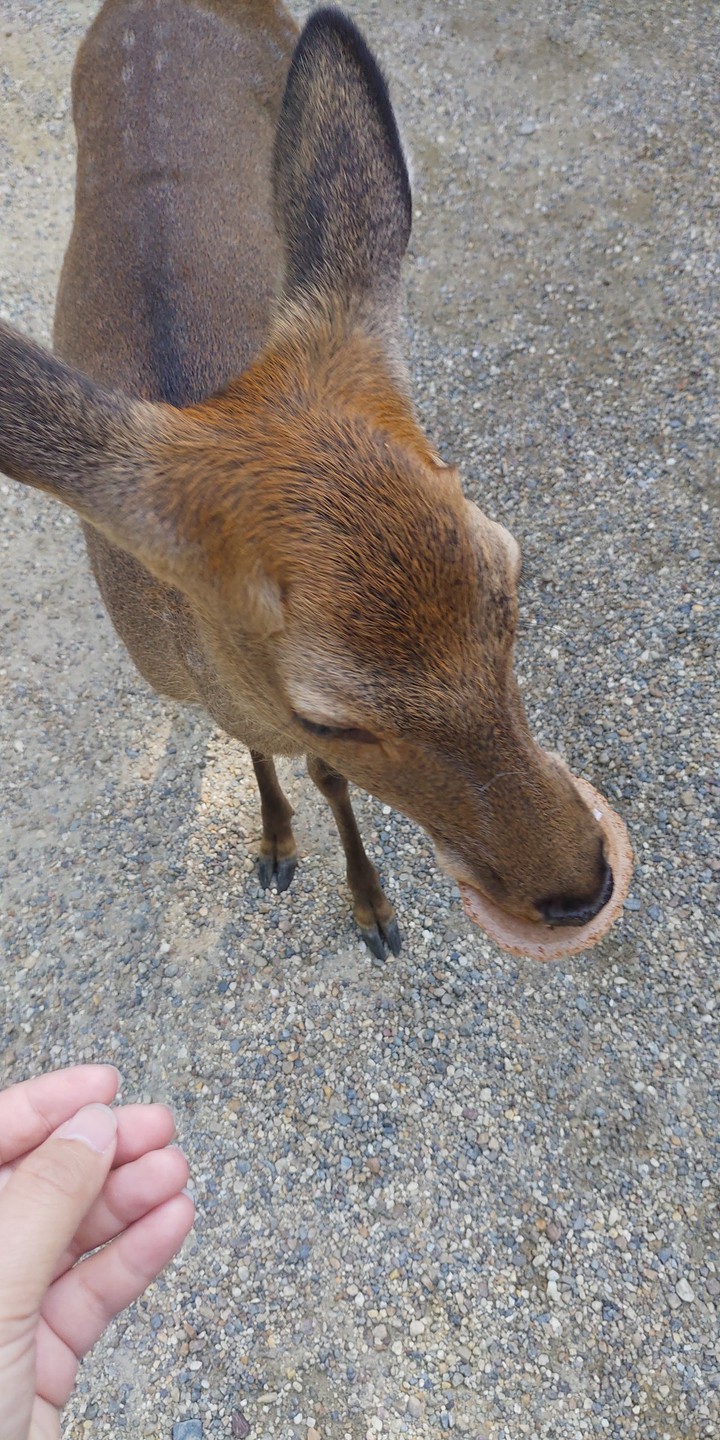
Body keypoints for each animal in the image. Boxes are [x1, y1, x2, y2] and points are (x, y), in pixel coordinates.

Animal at [0, 1, 614, 960]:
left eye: (508, 582)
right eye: (329, 712)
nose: (579, 889)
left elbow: (328, 782)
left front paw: (372, 908)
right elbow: (278, 759)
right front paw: (278, 849)